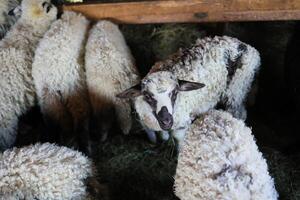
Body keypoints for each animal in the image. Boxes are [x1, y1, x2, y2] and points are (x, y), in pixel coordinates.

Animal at [31, 11, 91, 153]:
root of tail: (54, 80)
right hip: (75, 88)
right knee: (80, 120)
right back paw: (85, 148)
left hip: (49, 100)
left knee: (63, 124)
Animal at [118, 36, 260, 144]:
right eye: (147, 96)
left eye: (175, 93)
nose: (166, 120)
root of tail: (247, 47)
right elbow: (163, 135)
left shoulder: (181, 124)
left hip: (237, 90)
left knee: (240, 113)